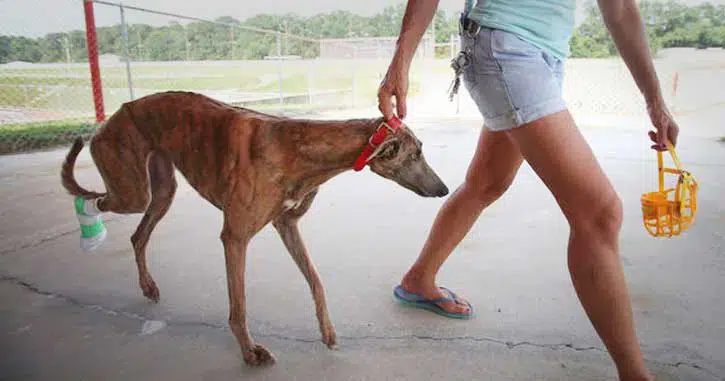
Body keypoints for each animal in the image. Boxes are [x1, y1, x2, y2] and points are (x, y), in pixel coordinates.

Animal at [60, 90, 446, 366]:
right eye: (415, 154)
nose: (443, 190)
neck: (302, 148)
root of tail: (109, 119)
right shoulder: (235, 237)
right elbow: (239, 305)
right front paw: (249, 352)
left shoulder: (286, 224)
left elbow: (316, 282)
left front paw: (327, 332)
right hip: (132, 191)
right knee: (95, 200)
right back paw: (88, 226)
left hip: (160, 192)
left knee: (137, 235)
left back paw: (148, 286)